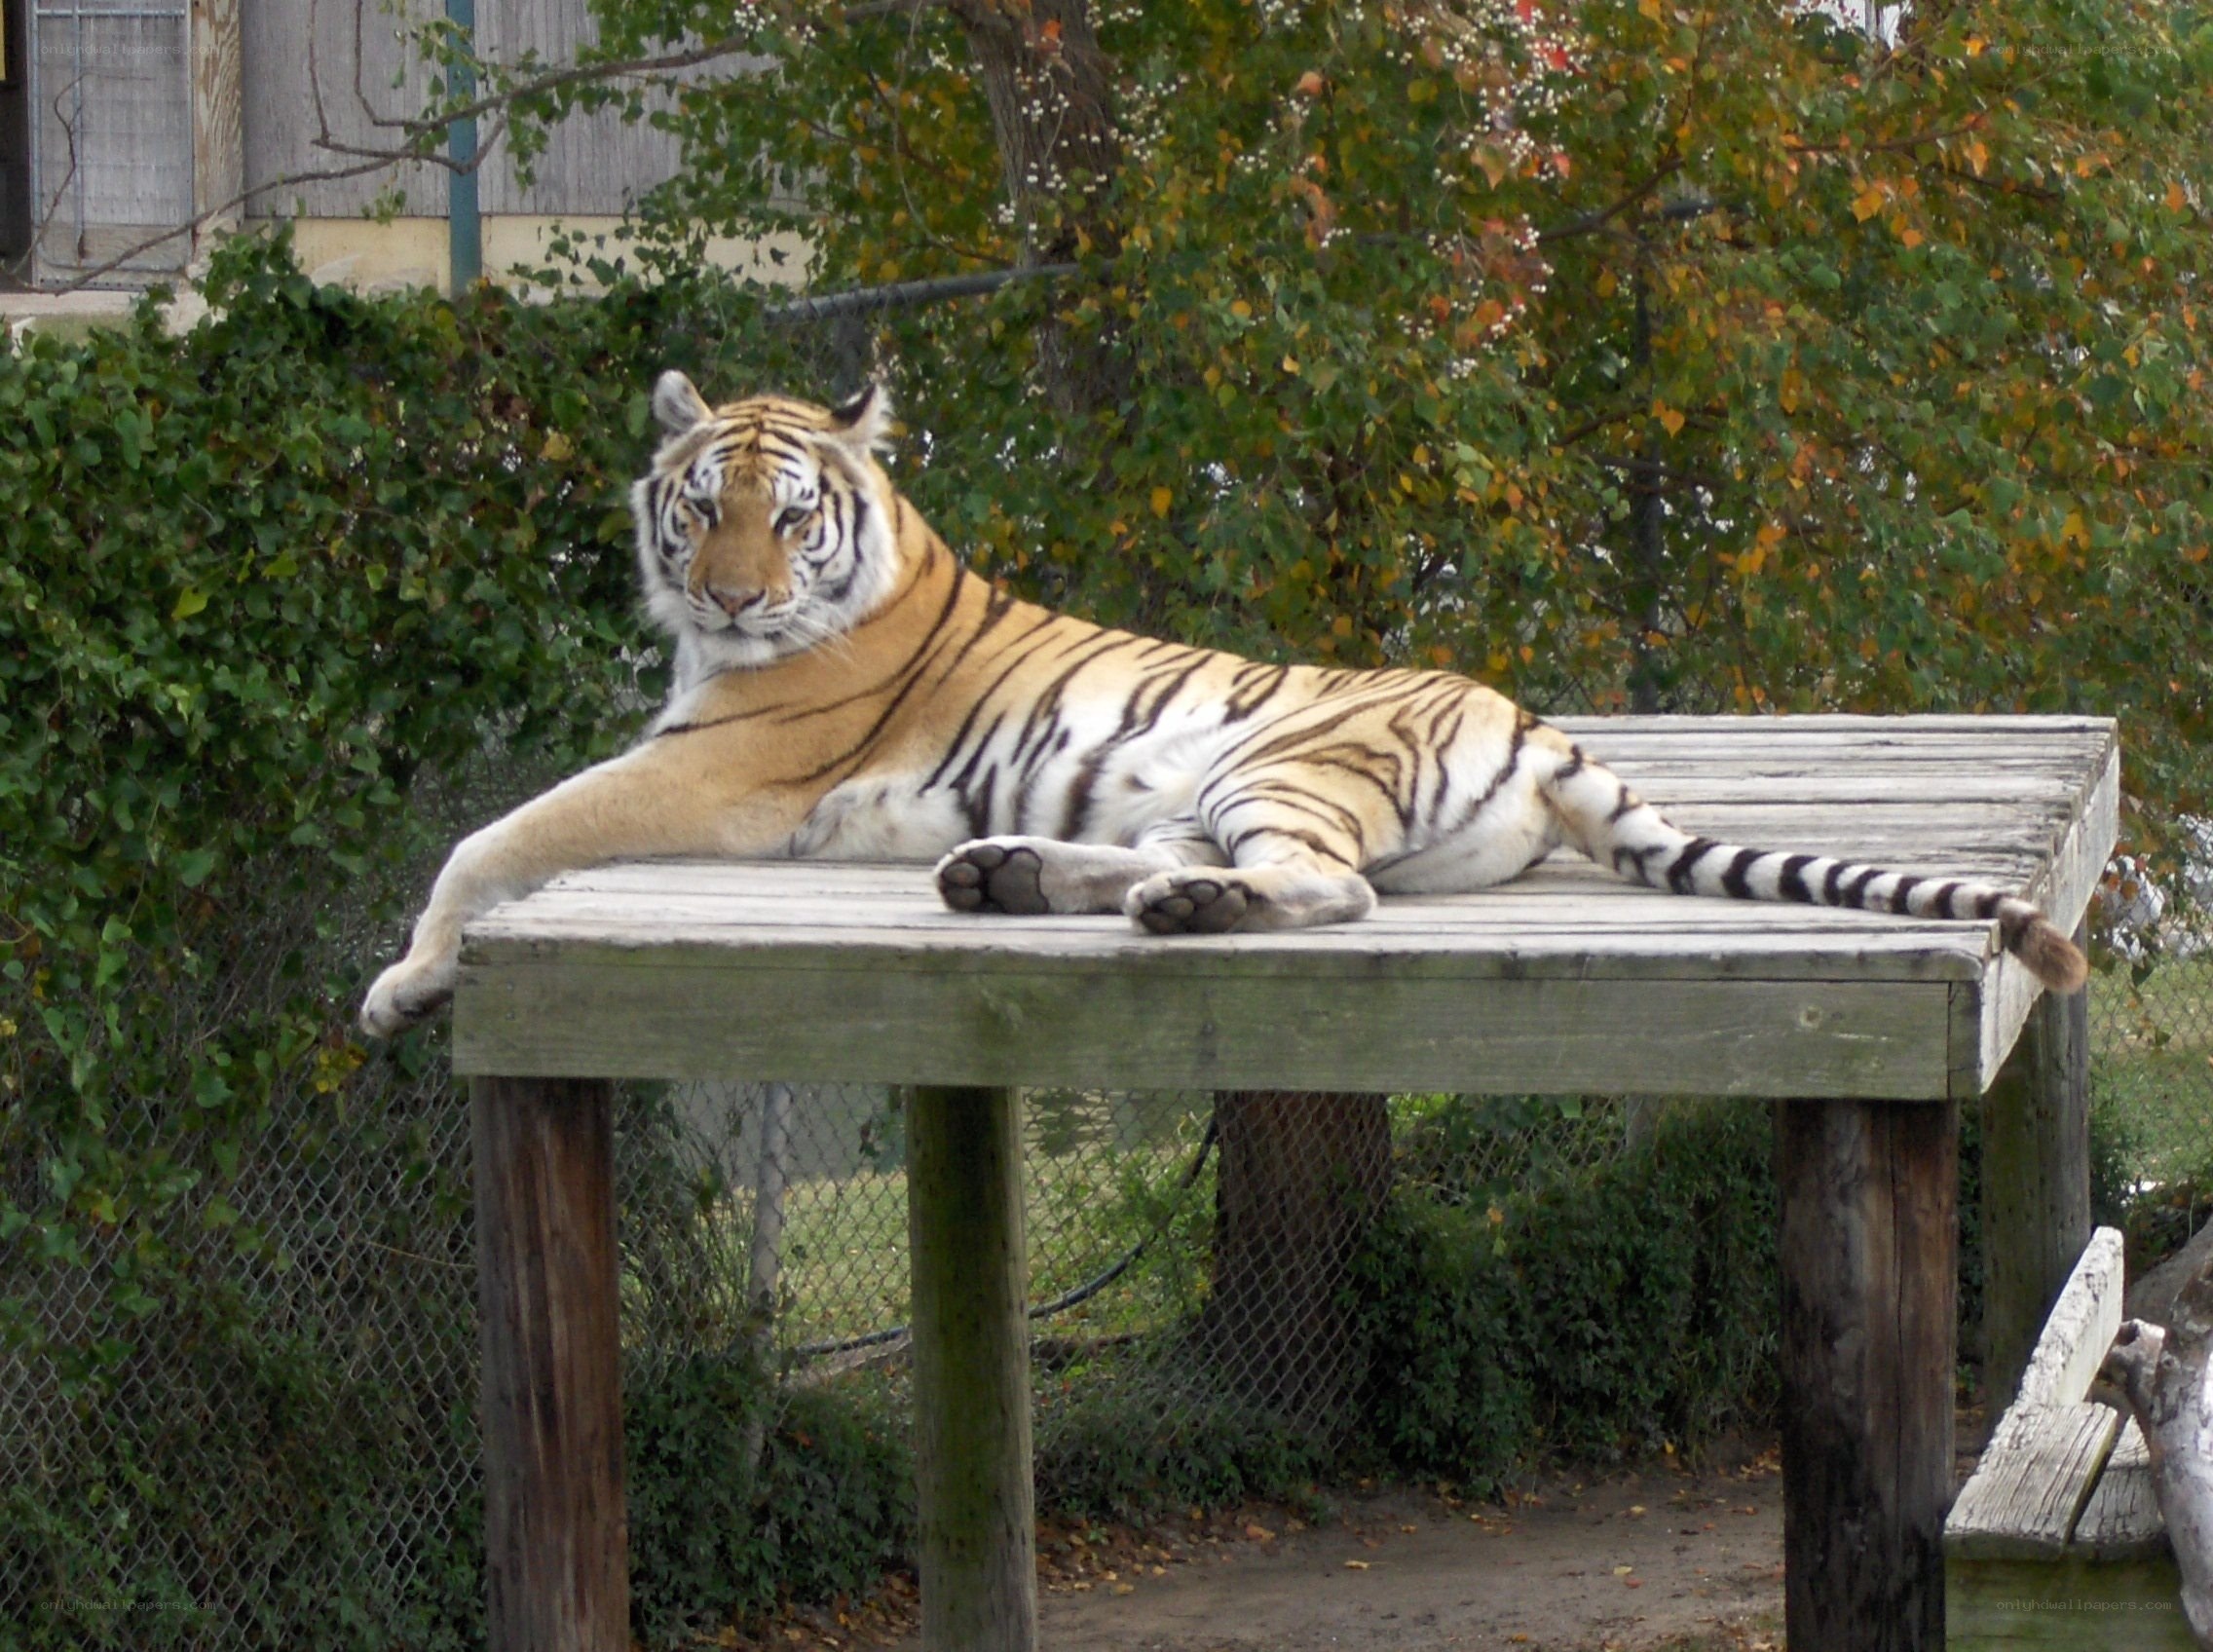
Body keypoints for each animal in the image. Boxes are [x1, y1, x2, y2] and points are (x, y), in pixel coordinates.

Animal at [358, 373, 2087, 1037]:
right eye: (700, 505)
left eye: (788, 520)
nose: (726, 597)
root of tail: (1541, 728)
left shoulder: (708, 770)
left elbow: (491, 838)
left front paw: (405, 984)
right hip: (1209, 787)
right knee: (1193, 865)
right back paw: (1017, 876)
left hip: (1282, 762)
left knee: (1328, 894)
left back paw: (1163, 909)